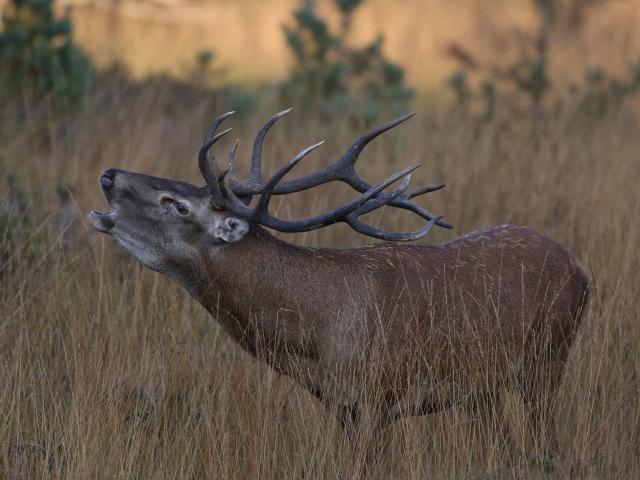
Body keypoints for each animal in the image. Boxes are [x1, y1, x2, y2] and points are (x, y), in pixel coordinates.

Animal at [89, 109, 589, 470]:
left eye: (175, 204)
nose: (108, 174)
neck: (316, 338)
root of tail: (581, 269)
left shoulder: (377, 397)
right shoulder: (342, 407)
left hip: (549, 361)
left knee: (548, 444)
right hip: (487, 386)